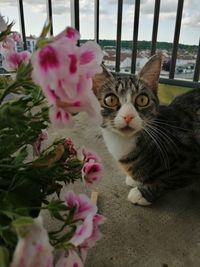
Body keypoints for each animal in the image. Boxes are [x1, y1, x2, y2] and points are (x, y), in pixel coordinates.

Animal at [92, 53, 200, 206]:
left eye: (142, 100)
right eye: (111, 100)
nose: (128, 116)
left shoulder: (190, 162)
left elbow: (167, 181)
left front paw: (143, 193)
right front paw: (136, 180)